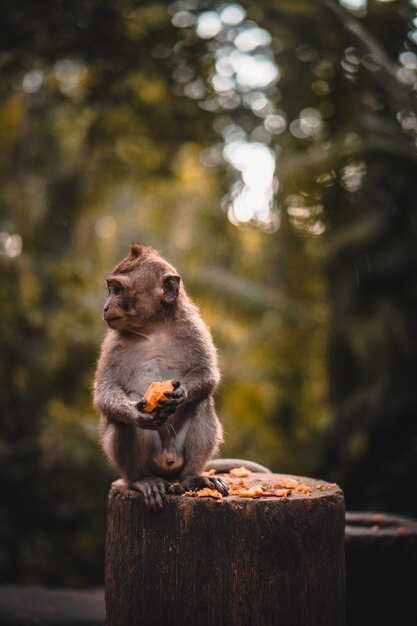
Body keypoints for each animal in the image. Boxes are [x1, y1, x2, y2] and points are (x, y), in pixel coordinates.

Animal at [92, 241, 228, 510]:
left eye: (118, 290)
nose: (106, 307)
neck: (154, 328)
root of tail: (167, 466)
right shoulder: (113, 343)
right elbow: (105, 392)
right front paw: (134, 413)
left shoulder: (193, 328)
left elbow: (207, 375)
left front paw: (180, 393)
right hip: (149, 460)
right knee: (122, 422)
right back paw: (142, 480)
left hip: (177, 454)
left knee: (202, 402)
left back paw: (193, 478)